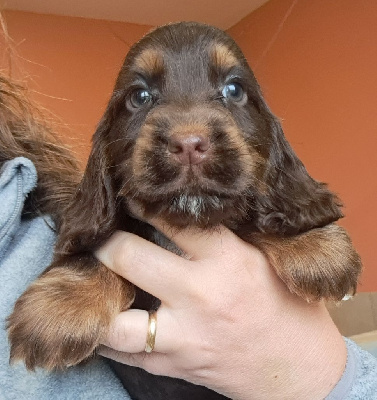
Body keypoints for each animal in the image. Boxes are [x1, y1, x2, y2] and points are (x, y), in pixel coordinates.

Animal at [7, 22, 362, 400]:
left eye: (234, 90)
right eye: (140, 96)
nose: (189, 144)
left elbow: (249, 215)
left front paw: (313, 245)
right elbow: (99, 243)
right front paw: (61, 308)